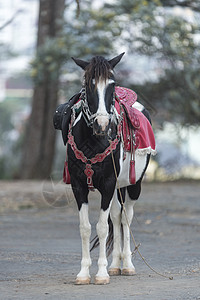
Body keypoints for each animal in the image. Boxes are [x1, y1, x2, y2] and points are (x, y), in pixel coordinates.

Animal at [63, 52, 155, 284]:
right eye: (88, 83)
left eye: (111, 84)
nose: (102, 125)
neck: (93, 142)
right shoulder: (79, 186)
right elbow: (86, 227)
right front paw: (84, 273)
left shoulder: (107, 184)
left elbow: (102, 227)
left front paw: (102, 273)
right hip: (117, 188)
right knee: (116, 216)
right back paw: (115, 265)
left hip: (133, 185)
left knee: (126, 218)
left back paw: (127, 265)